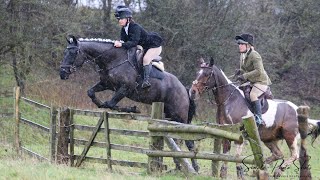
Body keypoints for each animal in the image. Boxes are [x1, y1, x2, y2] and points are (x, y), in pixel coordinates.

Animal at [190, 57, 320, 177]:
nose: (193, 91)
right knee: (278, 154)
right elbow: (225, 156)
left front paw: (240, 174)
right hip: (269, 138)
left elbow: (236, 157)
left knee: (294, 155)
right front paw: (223, 175)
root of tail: (297, 110)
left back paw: (277, 171)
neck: (229, 100)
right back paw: (261, 168)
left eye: (207, 74)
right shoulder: (225, 134)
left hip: (290, 136)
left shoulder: (239, 136)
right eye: (197, 73)